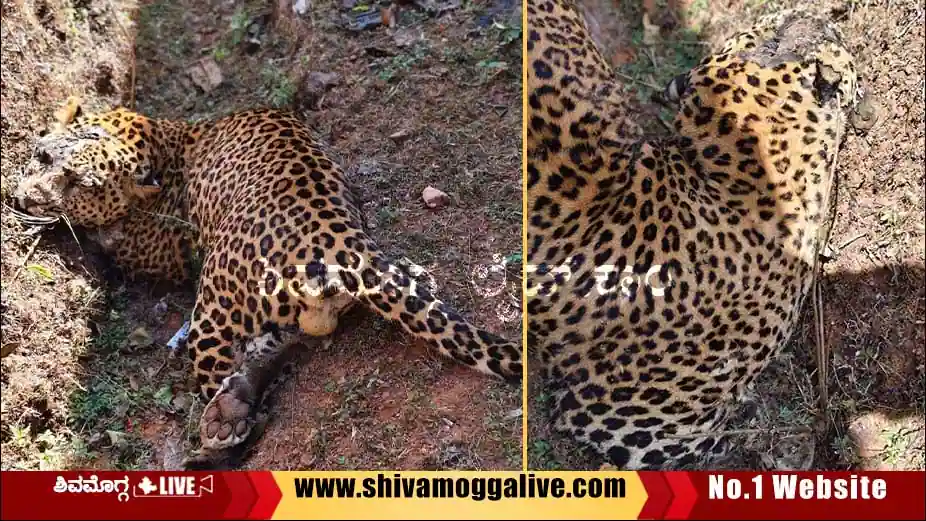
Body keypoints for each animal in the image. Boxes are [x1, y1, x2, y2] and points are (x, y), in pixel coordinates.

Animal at [14, 99, 523, 469]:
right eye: (42, 158)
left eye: (83, 186)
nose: (22, 196)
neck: (156, 140)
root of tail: (341, 237)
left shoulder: (153, 251)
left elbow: (106, 239)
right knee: (281, 345)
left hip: (214, 304)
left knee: (230, 388)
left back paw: (221, 432)